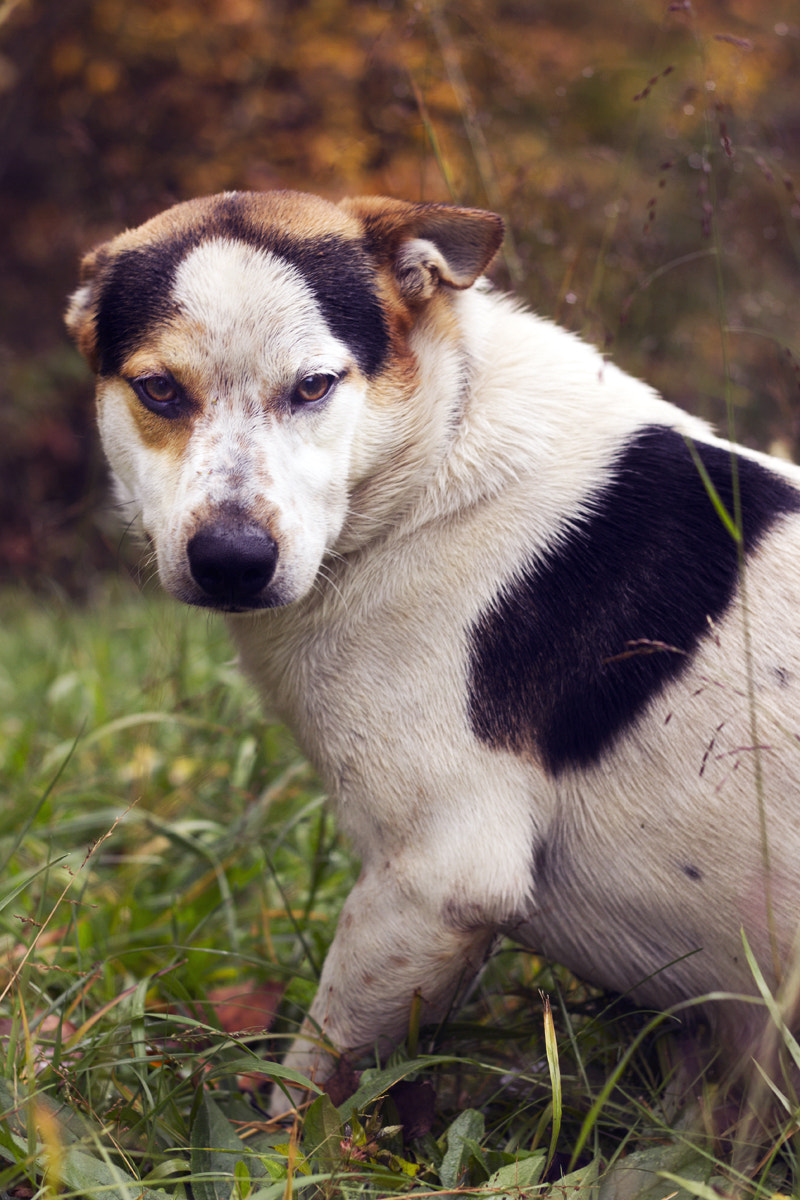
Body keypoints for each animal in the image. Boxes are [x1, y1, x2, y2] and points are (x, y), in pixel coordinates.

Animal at [65, 189, 800, 1113]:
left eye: (314, 386)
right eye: (159, 390)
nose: (231, 560)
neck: (435, 464)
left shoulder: (434, 882)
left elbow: (310, 1094)